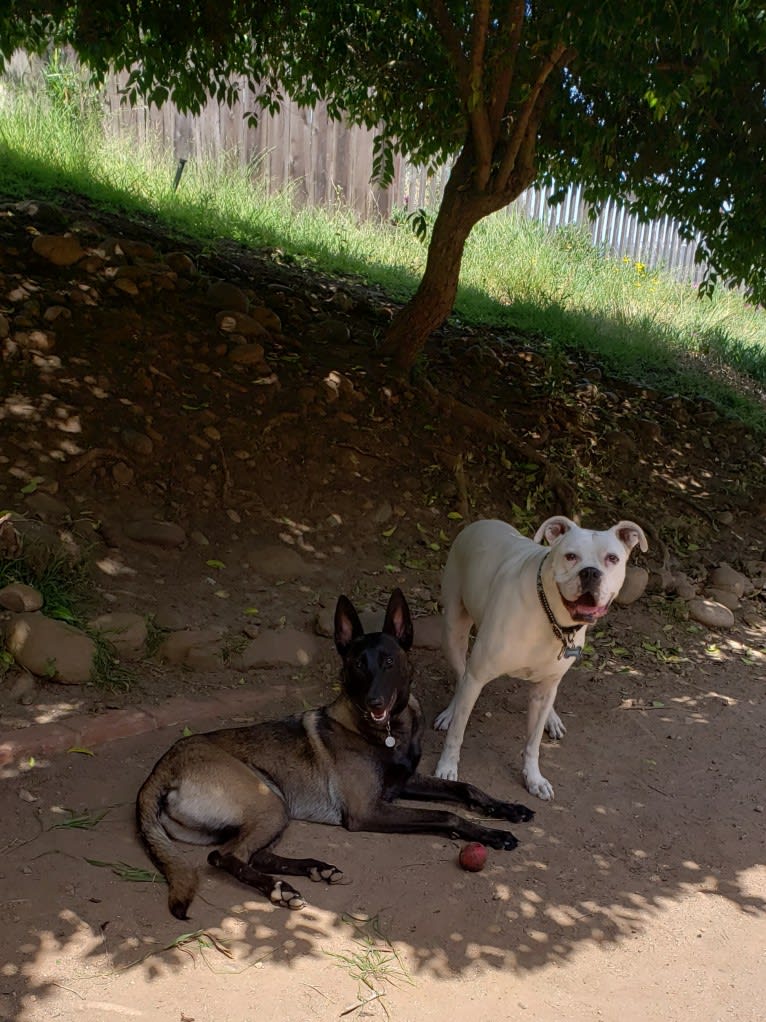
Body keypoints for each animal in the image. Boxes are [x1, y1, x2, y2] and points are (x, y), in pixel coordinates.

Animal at [137, 588, 535, 915]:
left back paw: (316, 868)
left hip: (272, 809)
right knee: (225, 856)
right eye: (358, 664)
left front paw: (507, 809)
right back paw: (279, 889)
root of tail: (163, 765)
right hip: (268, 800)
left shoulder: (405, 782)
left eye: (388, 661)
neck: (387, 733)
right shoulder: (368, 810)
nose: (375, 702)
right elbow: (446, 815)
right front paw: (490, 834)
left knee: (255, 854)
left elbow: (465, 788)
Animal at [437, 519, 649, 797]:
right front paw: (447, 766)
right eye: (570, 556)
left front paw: (534, 778)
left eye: (612, 558)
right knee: (459, 673)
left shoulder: (545, 687)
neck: (550, 616)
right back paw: (450, 712)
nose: (590, 573)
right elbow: (457, 733)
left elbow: (533, 743)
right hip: (453, 632)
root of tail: (482, 521)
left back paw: (553, 718)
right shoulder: (476, 677)